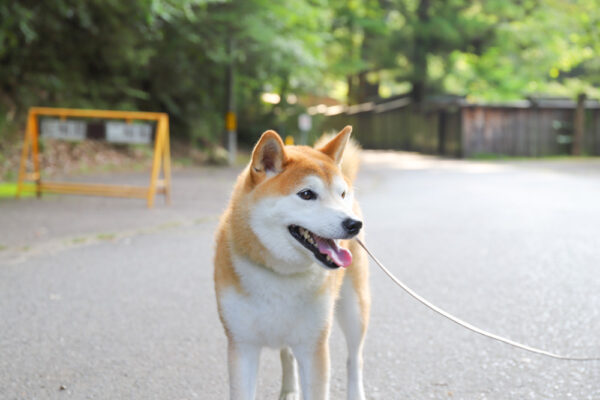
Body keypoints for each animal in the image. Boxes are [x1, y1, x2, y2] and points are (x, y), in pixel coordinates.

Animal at [213, 126, 368, 400]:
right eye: (307, 194)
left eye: (340, 194)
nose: (354, 224)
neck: (280, 273)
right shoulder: (242, 345)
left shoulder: (312, 345)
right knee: (287, 355)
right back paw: (289, 390)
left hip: (354, 309)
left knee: (354, 359)